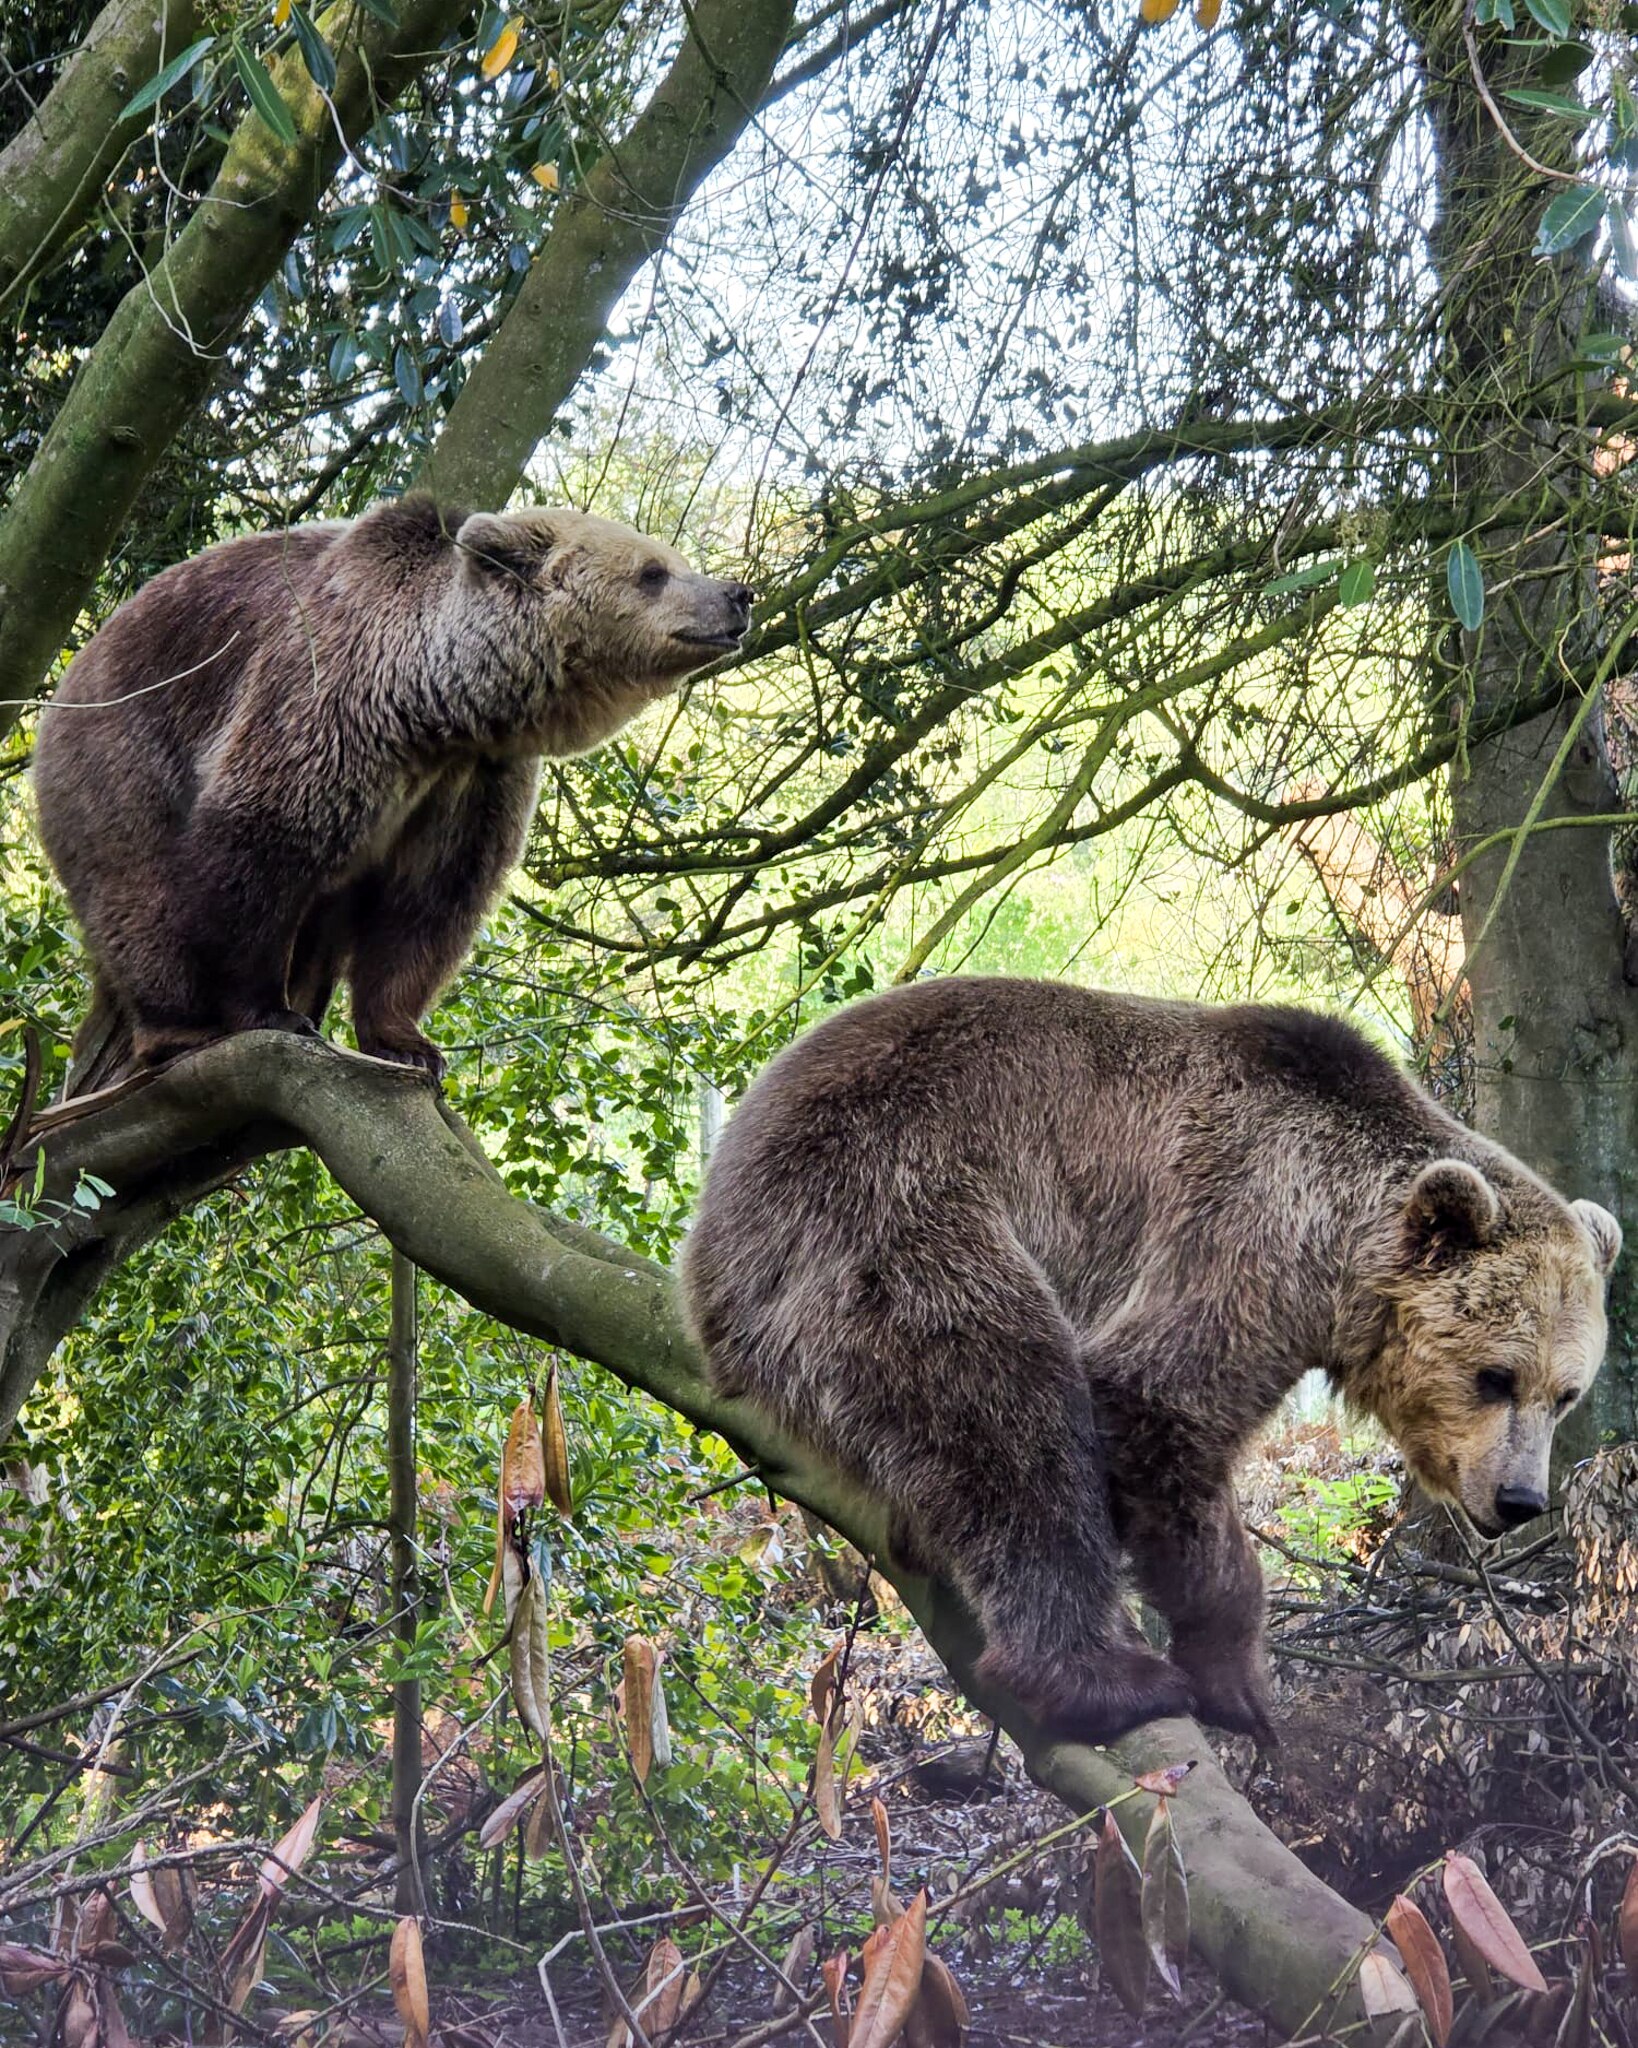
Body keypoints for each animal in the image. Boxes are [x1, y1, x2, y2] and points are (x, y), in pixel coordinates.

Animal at [33, 495, 752, 1083]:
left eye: (676, 561)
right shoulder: (323, 705)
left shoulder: (475, 780)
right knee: (138, 889)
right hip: (123, 751)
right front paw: (265, 1009)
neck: (431, 706)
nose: (737, 594)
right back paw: (176, 1026)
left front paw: (408, 1043)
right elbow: (259, 845)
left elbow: (429, 904)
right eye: (652, 572)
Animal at [681, 977, 1622, 1746]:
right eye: (1495, 1376)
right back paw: (1102, 1678)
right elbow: (1153, 1400)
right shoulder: (1245, 1220)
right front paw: (1237, 1678)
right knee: (1004, 1400)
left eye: (1565, 1394)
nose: (1520, 1499)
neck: (1342, 1253)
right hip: (885, 1211)